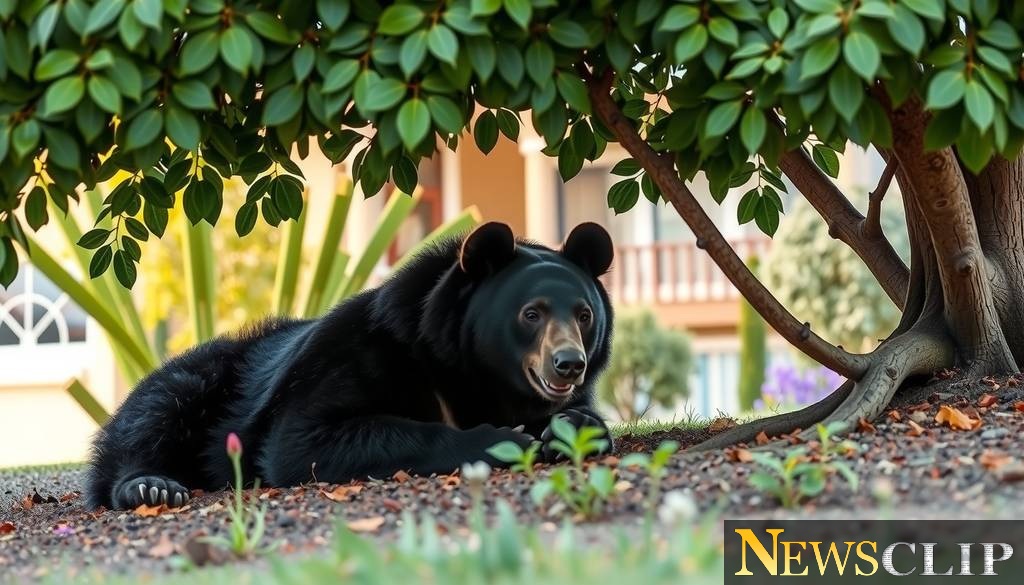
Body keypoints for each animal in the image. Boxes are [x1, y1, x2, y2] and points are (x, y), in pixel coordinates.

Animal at [85, 221, 616, 510]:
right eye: (531, 314)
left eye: (584, 315)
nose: (569, 364)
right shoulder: (350, 354)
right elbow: (303, 438)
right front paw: (502, 439)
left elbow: (585, 418)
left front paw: (568, 426)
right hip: (191, 380)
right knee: (150, 420)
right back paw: (151, 487)